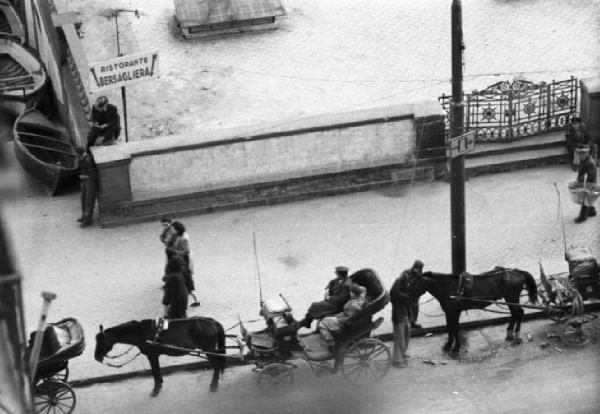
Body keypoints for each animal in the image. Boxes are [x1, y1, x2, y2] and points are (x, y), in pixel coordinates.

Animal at [94, 316, 225, 398]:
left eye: (101, 342)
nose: (96, 357)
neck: (142, 333)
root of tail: (213, 322)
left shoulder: (152, 356)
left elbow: (155, 372)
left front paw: (156, 389)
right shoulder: (154, 356)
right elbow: (156, 372)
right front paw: (160, 384)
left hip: (209, 350)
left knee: (217, 364)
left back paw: (214, 384)